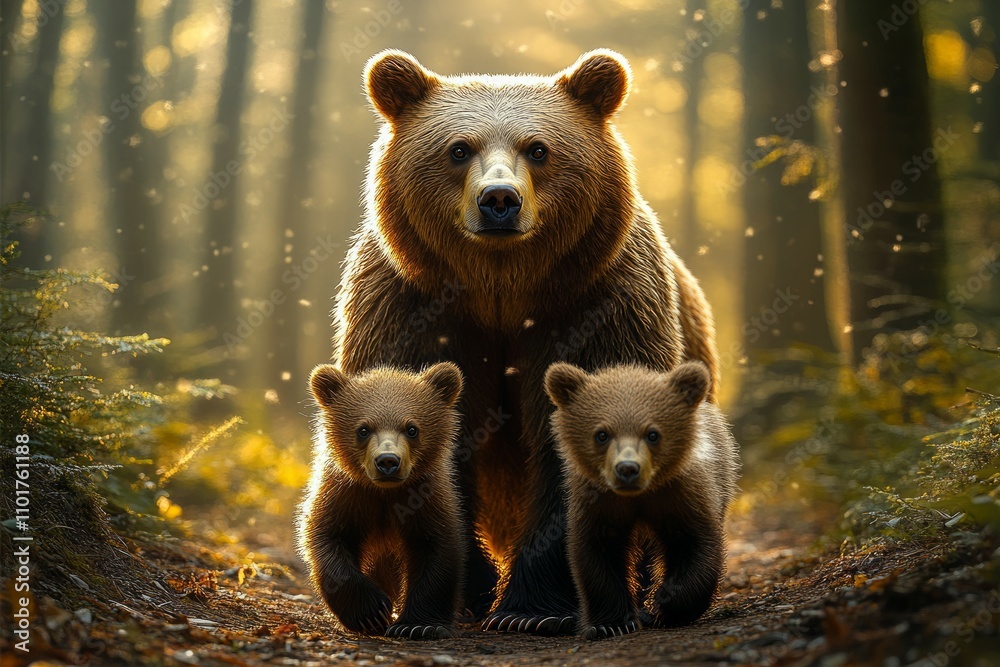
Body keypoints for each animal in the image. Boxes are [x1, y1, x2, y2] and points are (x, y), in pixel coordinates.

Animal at [296, 362, 466, 639]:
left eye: (412, 428)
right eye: (363, 429)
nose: (388, 461)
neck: (385, 494)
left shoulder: (427, 499)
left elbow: (436, 550)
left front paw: (418, 624)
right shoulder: (345, 496)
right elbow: (327, 539)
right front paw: (371, 612)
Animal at [332, 47, 721, 633]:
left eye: (538, 148)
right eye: (458, 148)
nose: (499, 200)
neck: (503, 292)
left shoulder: (592, 310)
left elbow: (570, 444)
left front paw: (530, 611)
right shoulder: (413, 311)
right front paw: (470, 592)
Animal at [543, 361, 740, 639]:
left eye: (653, 434)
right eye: (602, 434)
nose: (627, 469)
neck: (638, 497)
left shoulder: (681, 495)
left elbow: (696, 544)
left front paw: (664, 603)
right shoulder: (599, 503)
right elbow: (597, 554)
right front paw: (610, 623)